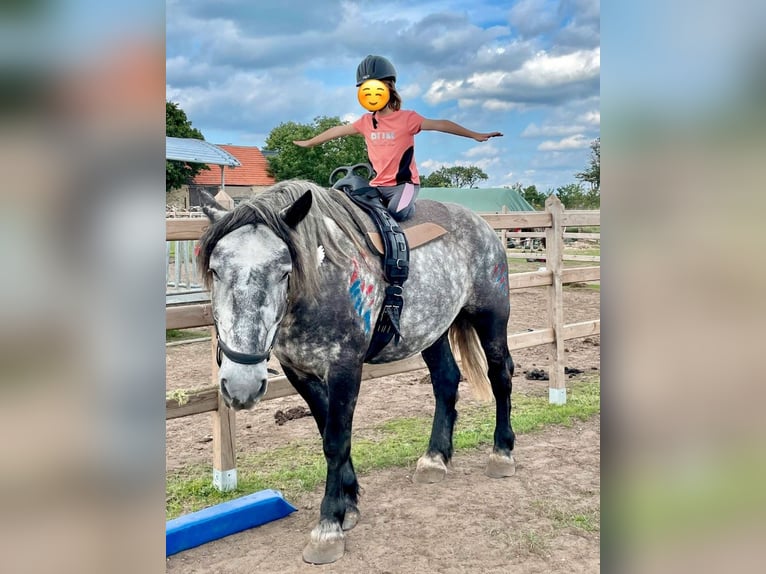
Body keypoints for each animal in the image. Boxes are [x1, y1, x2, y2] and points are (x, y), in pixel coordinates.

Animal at [197, 180, 516, 564]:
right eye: (215, 270)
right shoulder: (299, 372)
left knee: (501, 377)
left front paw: (328, 525)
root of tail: (482, 225)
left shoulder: (345, 368)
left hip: (492, 318)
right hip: (434, 330)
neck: (321, 281)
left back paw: (502, 452)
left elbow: (336, 440)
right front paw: (348, 503)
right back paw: (435, 458)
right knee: (445, 382)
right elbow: (327, 432)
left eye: (285, 271)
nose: (240, 385)